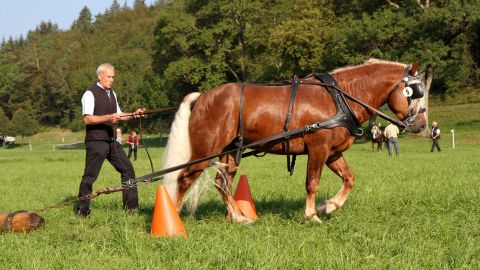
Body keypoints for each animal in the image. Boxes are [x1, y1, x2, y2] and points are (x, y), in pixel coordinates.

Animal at [162, 59, 428, 224]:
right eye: (414, 93)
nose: (422, 125)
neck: (340, 97)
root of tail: (202, 97)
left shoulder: (332, 153)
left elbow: (350, 179)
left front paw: (328, 206)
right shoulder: (318, 148)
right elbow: (312, 183)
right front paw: (312, 214)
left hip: (229, 152)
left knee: (223, 183)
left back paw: (238, 217)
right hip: (205, 150)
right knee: (184, 179)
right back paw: (174, 218)